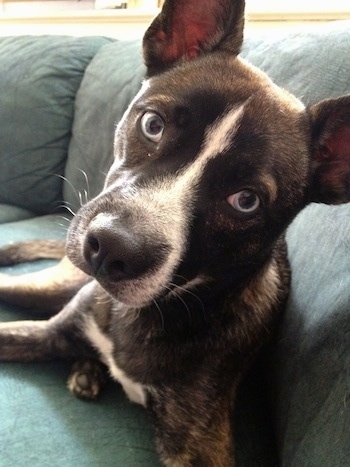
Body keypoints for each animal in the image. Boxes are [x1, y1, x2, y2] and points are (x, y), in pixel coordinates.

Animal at [0, 0, 350, 464]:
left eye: (246, 200)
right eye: (153, 124)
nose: (110, 249)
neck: (147, 312)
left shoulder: (200, 443)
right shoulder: (45, 330)